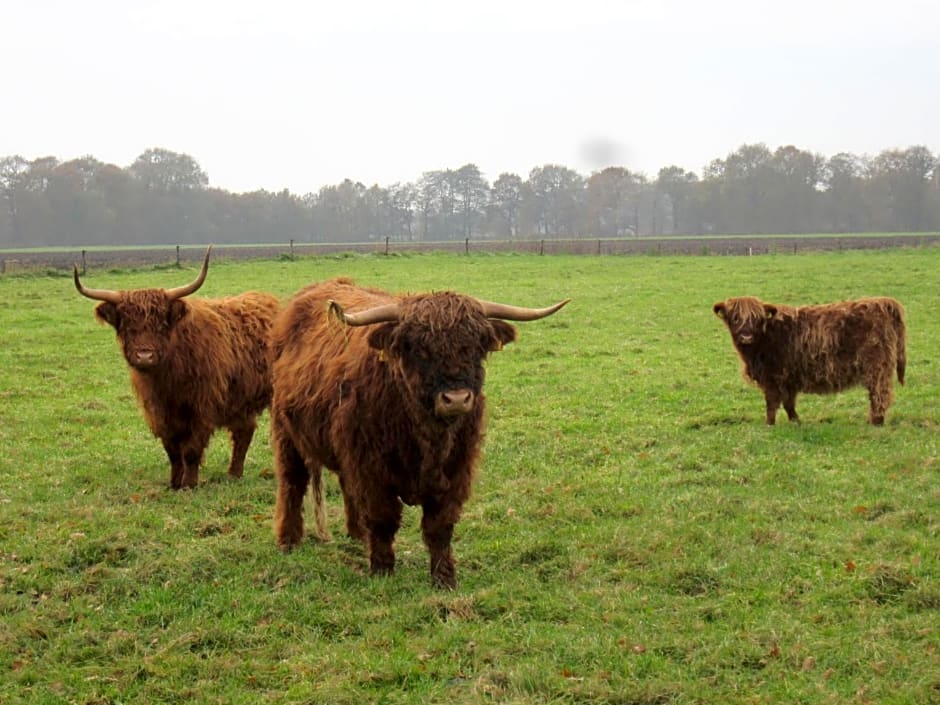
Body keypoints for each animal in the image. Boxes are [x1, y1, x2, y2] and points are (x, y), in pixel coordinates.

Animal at [73, 249, 280, 490]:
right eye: (127, 326)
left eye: (161, 325)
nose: (145, 356)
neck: (167, 379)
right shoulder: (160, 412)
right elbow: (172, 450)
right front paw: (174, 483)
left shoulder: (202, 407)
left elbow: (191, 450)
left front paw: (189, 484)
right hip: (240, 399)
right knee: (244, 431)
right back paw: (233, 474)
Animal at [268, 276, 568, 588]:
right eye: (419, 349)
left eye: (475, 347)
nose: (456, 399)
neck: (428, 435)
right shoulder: (371, 469)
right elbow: (383, 518)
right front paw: (382, 571)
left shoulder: (456, 469)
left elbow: (440, 526)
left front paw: (444, 578)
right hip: (286, 431)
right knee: (292, 483)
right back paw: (288, 540)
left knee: (345, 485)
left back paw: (357, 535)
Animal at [716, 292, 908, 424]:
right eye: (735, 318)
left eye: (757, 319)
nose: (746, 336)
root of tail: (883, 302)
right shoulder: (788, 379)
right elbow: (788, 403)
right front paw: (796, 422)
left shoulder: (773, 378)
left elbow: (771, 404)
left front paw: (769, 424)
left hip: (877, 367)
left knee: (879, 395)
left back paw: (876, 422)